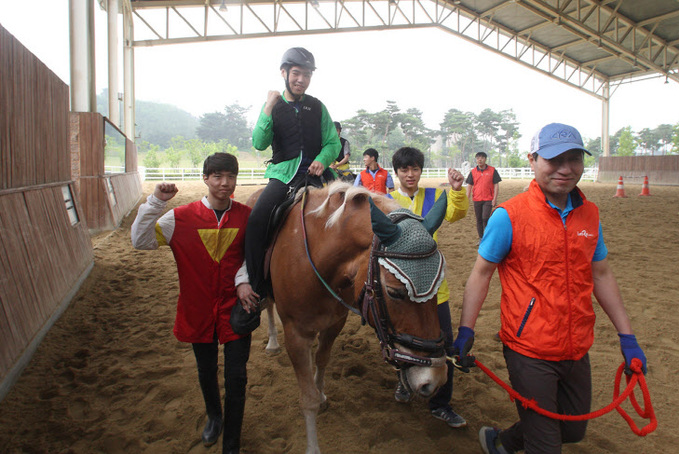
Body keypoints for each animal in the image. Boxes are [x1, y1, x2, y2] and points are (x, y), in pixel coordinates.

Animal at [247, 182, 448, 454]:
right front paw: (312, 446)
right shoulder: (296, 335)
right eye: (394, 292)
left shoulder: (334, 323)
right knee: (268, 306)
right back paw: (271, 343)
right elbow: (307, 399)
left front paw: (321, 392)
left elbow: (322, 360)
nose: (435, 379)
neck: (316, 259)